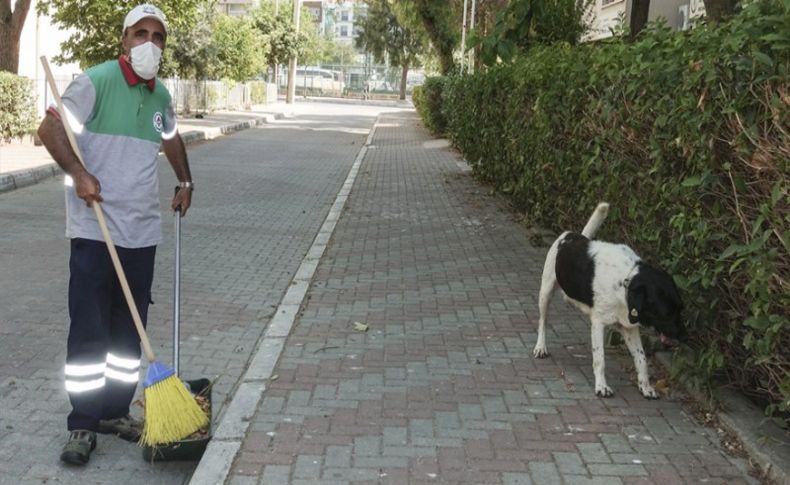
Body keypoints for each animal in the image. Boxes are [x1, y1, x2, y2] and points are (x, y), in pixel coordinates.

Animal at [536, 202, 688, 398]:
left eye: (681, 309)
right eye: (667, 313)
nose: (685, 336)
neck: (626, 282)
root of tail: (570, 235)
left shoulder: (629, 327)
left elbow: (642, 359)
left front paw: (645, 387)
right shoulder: (598, 323)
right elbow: (600, 359)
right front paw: (601, 387)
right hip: (545, 291)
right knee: (542, 321)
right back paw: (540, 347)